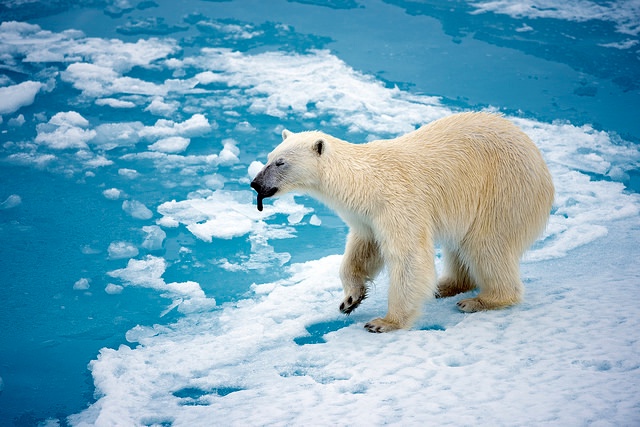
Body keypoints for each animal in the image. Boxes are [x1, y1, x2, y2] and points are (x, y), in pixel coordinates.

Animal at [251, 113, 556, 334]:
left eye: (280, 162)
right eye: (268, 158)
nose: (255, 183)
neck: (365, 181)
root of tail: (541, 163)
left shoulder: (398, 202)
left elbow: (409, 257)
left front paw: (384, 322)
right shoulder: (368, 215)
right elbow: (363, 249)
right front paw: (350, 299)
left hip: (503, 191)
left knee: (486, 244)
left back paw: (481, 300)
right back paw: (446, 286)